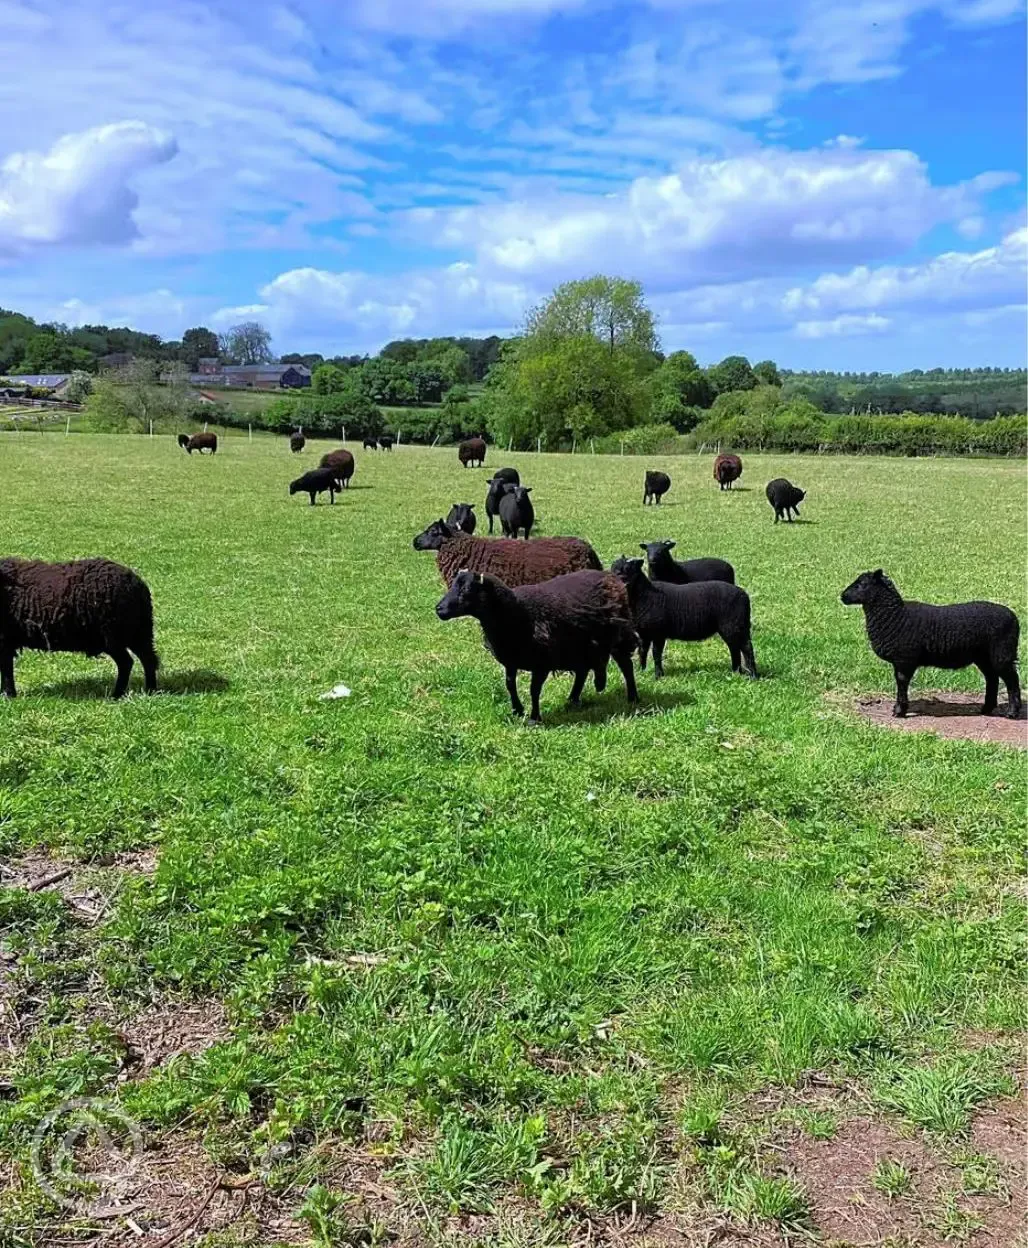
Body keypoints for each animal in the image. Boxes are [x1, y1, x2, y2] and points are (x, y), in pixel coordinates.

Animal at [0, 559, 159, 698]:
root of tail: (138, 583)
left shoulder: (4, 640)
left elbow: (6, 669)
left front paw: (8, 695)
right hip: (137, 632)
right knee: (147, 659)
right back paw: (150, 691)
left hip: (115, 635)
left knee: (128, 662)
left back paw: (117, 695)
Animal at [436, 569, 643, 723]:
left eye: (466, 589)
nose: (438, 609)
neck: (517, 613)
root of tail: (611, 577)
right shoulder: (511, 660)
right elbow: (510, 685)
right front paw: (517, 710)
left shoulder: (542, 664)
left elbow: (533, 690)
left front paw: (534, 717)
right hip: (578, 645)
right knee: (583, 671)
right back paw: (573, 699)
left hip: (619, 635)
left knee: (626, 666)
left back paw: (632, 698)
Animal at [611, 556, 753, 678]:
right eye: (613, 567)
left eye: (628, 568)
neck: (645, 595)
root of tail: (744, 595)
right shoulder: (644, 633)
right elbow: (642, 651)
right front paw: (642, 671)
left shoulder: (658, 633)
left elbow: (656, 654)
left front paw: (658, 675)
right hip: (734, 627)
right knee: (735, 647)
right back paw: (736, 671)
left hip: (734, 625)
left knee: (746, 648)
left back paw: (752, 676)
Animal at [843, 569, 1018, 723]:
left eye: (862, 584)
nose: (842, 596)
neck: (895, 616)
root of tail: (1013, 617)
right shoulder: (900, 661)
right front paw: (899, 708)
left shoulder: (905, 659)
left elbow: (901, 682)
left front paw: (900, 710)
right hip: (984, 656)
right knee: (992, 678)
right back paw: (986, 709)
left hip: (1002, 653)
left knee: (1012, 680)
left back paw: (1012, 712)